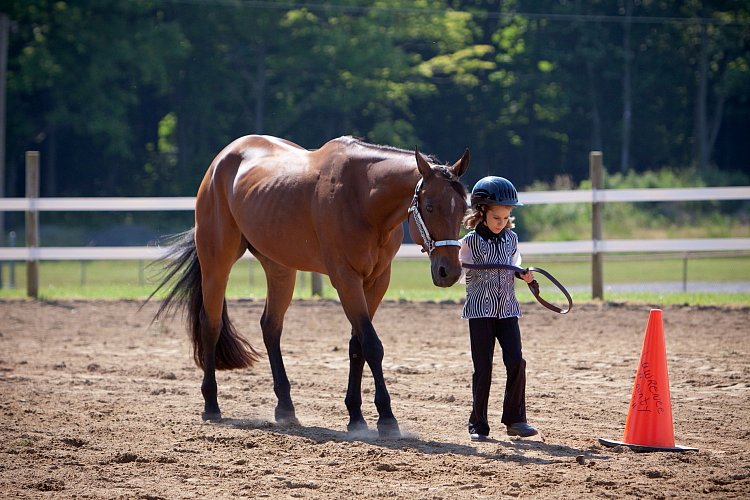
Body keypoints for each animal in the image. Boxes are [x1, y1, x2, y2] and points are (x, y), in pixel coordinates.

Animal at [150, 135, 472, 436]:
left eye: (464, 209)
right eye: (429, 206)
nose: (448, 271)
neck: (362, 197)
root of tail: (222, 160)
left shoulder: (377, 280)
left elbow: (357, 345)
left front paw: (356, 416)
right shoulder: (345, 279)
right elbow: (371, 344)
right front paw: (386, 418)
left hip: (280, 268)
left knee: (271, 326)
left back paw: (285, 408)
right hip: (217, 261)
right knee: (211, 324)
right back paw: (211, 405)